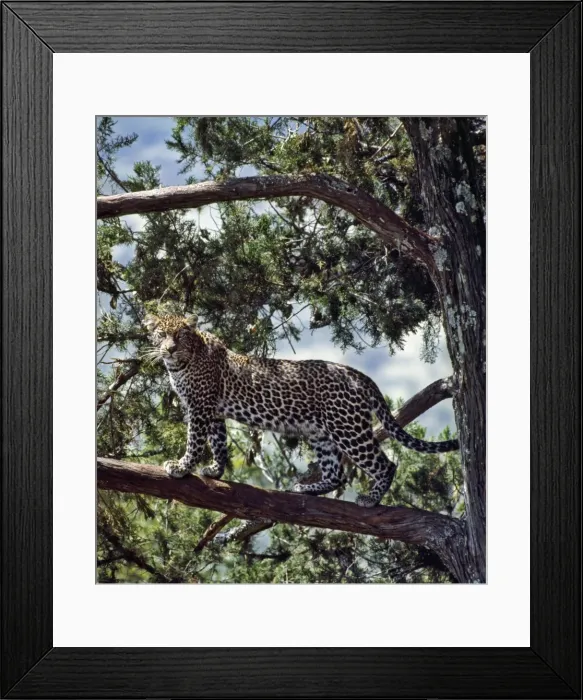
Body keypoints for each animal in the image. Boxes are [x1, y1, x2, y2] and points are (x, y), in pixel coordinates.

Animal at [144, 312, 459, 511]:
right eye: (161, 335)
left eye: (179, 335)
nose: (169, 349)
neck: (180, 364)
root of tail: (359, 375)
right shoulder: (213, 411)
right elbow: (218, 442)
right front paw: (215, 470)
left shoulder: (199, 407)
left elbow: (195, 441)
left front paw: (181, 467)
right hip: (321, 432)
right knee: (336, 472)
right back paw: (306, 489)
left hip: (348, 429)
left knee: (385, 464)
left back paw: (370, 500)